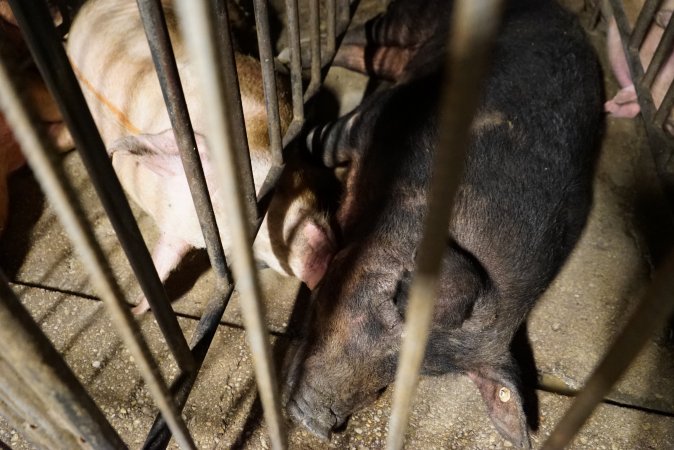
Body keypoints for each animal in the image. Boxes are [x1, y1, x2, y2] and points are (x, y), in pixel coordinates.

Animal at [286, 0, 600, 446]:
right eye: (393, 307)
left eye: (422, 371)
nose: (316, 421)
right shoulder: (373, 121)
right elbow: (325, 142)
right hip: (409, 19)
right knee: (365, 35)